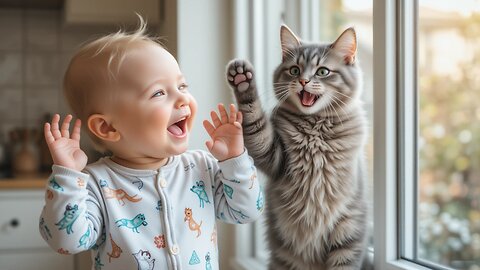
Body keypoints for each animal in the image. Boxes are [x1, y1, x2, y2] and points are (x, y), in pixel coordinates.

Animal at [225, 24, 368, 268]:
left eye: (322, 72)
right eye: (294, 70)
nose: (303, 81)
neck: (315, 129)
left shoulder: (348, 232)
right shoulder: (275, 157)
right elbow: (254, 119)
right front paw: (243, 81)